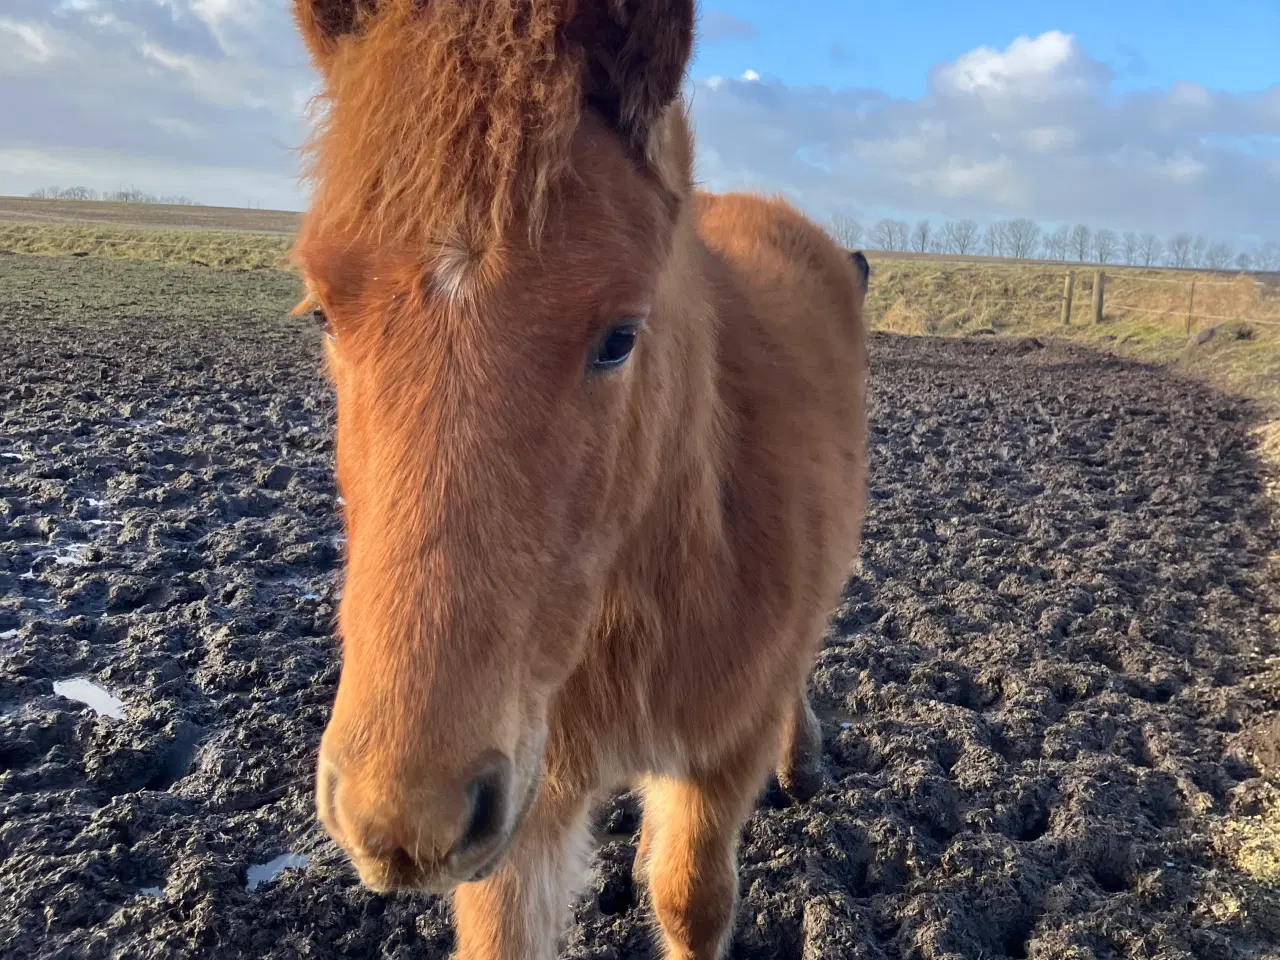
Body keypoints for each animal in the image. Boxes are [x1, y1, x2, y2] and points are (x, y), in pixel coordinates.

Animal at [290, 1, 870, 960]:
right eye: (323, 316)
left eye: (619, 337)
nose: (406, 821)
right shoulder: (524, 803)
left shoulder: (717, 759)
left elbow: (691, 900)